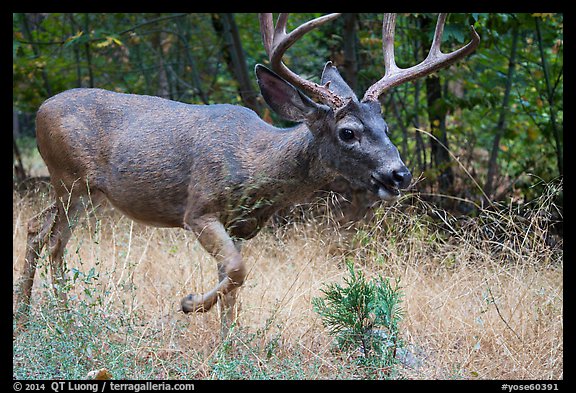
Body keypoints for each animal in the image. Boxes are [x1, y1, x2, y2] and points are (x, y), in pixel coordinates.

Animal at [15, 13, 480, 336]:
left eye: (384, 127)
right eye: (348, 132)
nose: (400, 174)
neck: (257, 166)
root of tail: (40, 109)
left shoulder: (241, 226)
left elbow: (233, 284)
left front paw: (228, 342)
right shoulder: (198, 209)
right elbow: (238, 271)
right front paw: (189, 304)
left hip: (86, 193)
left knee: (49, 235)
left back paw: (55, 314)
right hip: (67, 179)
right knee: (42, 232)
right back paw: (36, 314)